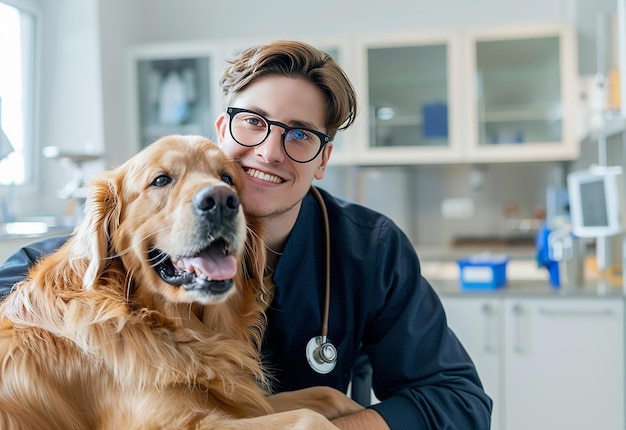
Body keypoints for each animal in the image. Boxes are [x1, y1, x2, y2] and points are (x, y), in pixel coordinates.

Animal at [0, 136, 348, 428]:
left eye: (227, 179)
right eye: (161, 180)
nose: (222, 199)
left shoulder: (240, 400)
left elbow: (326, 393)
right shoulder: (179, 423)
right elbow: (310, 417)